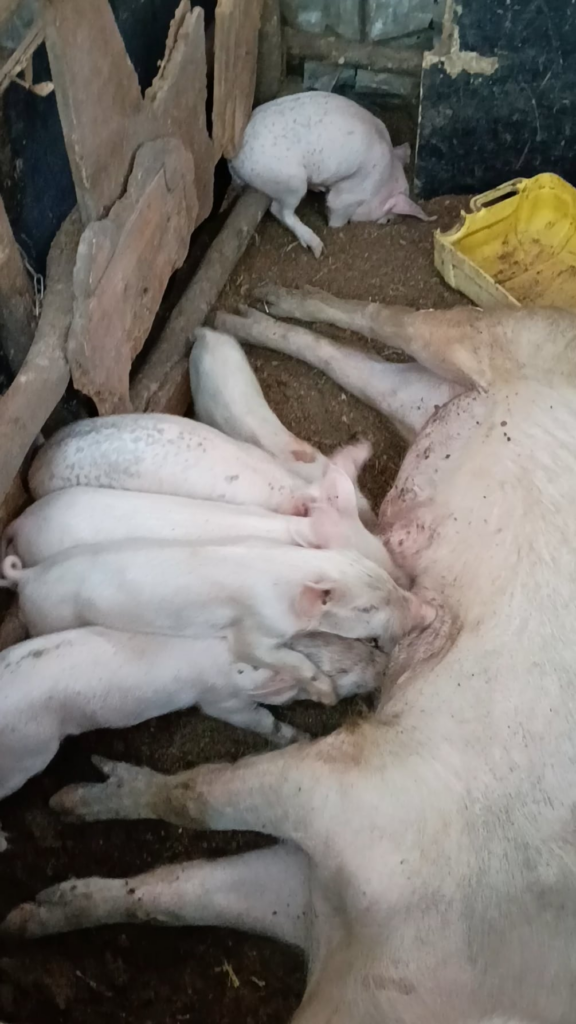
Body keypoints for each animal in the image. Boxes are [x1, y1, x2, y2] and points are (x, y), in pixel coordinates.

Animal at [1, 540, 432, 703]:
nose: (429, 611)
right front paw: (326, 694)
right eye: (367, 609)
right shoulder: (253, 632)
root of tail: (30, 575)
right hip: (49, 617)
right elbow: (282, 658)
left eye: (387, 578)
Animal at [229, 91, 430, 258]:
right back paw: (318, 247)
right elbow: (336, 212)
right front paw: (335, 226)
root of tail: (234, 158)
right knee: (279, 210)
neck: (385, 177)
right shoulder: (351, 194)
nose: (387, 221)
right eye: (389, 217)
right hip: (291, 181)